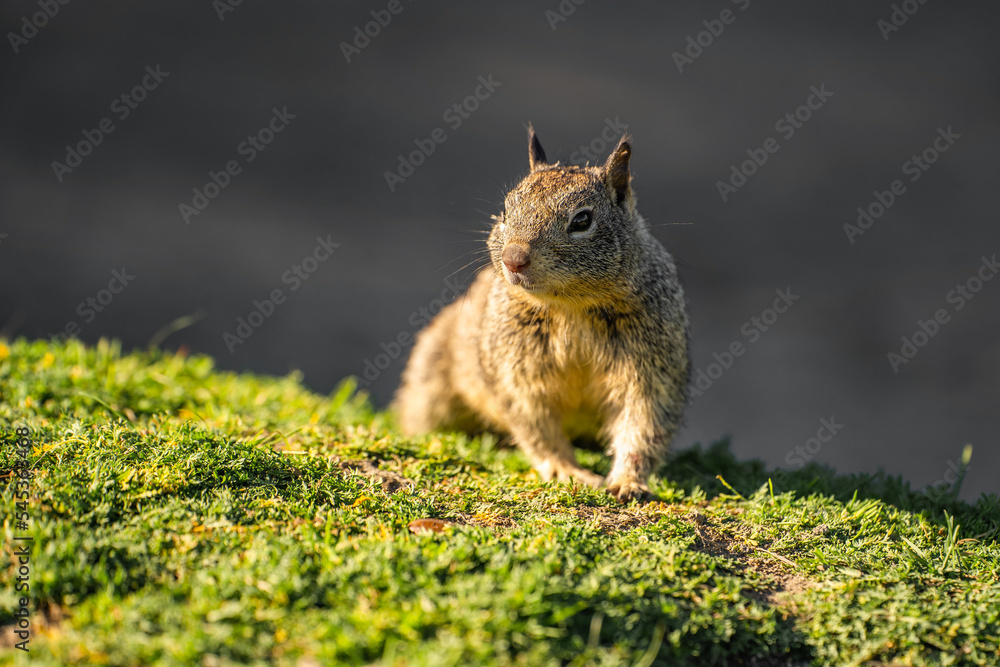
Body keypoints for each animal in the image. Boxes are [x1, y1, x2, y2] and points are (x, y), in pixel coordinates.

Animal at [394, 126, 690, 502]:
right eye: (505, 210)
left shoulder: (651, 370)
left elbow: (643, 425)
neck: (571, 307)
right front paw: (566, 470)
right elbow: (537, 428)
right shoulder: (518, 374)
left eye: (582, 220)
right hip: (430, 384)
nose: (513, 259)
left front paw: (628, 482)